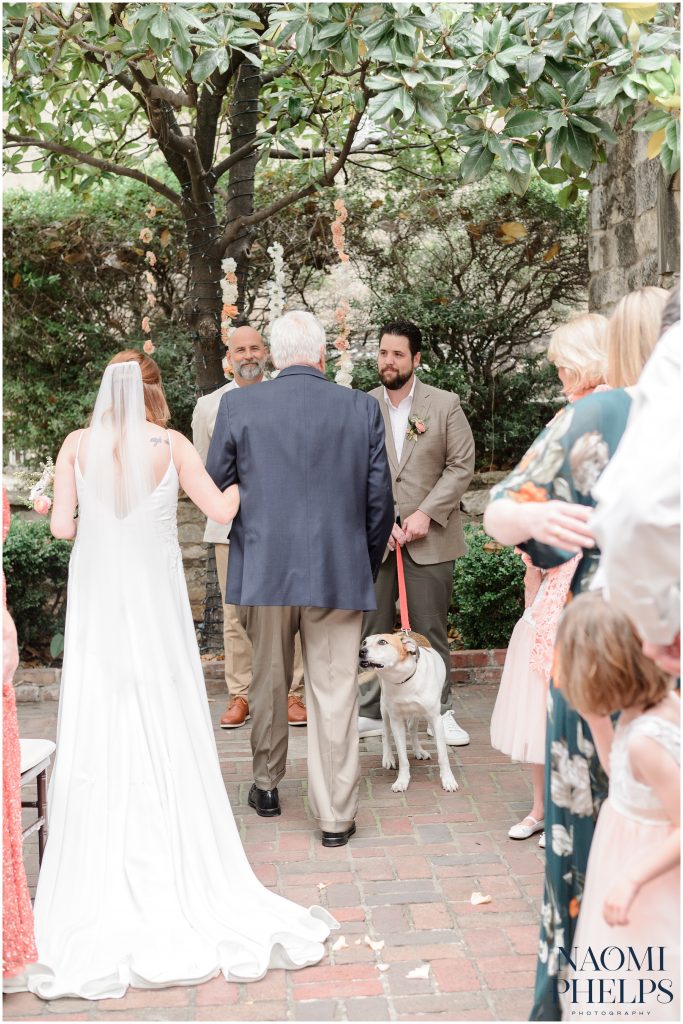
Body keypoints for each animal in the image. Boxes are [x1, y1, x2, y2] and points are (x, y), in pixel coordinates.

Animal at [358, 630, 458, 790]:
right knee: (385, 732)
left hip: (416, 712)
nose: (361, 651)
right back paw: (388, 758)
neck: (403, 679)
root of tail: (403, 632)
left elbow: (443, 755)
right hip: (384, 707)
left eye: (382, 642)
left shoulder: (435, 720)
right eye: (364, 642)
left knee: (411, 727)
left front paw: (448, 780)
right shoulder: (396, 721)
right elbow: (403, 758)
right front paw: (402, 781)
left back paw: (418, 750)